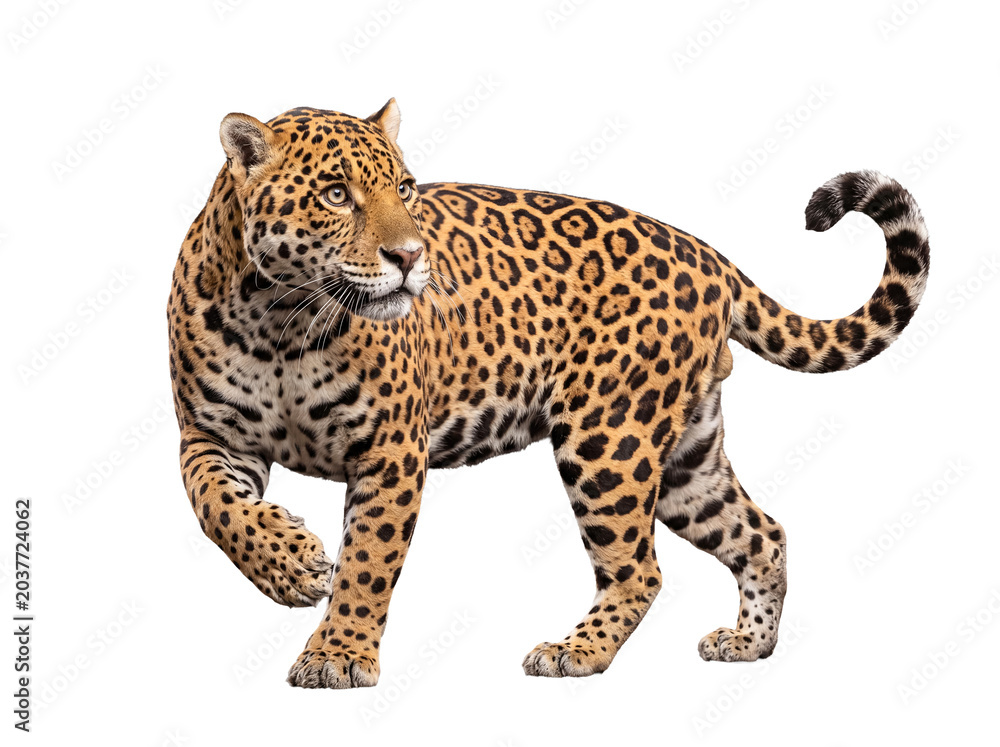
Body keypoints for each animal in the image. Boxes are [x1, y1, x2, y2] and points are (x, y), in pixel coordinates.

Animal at [167, 99, 930, 688]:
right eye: (334, 194)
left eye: (406, 188)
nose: (411, 257)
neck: (280, 319)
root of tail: (708, 255)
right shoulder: (210, 433)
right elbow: (215, 508)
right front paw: (291, 562)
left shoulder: (390, 451)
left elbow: (368, 560)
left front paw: (339, 654)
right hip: (687, 456)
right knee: (760, 532)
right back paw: (748, 644)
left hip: (609, 438)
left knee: (640, 568)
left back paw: (575, 651)